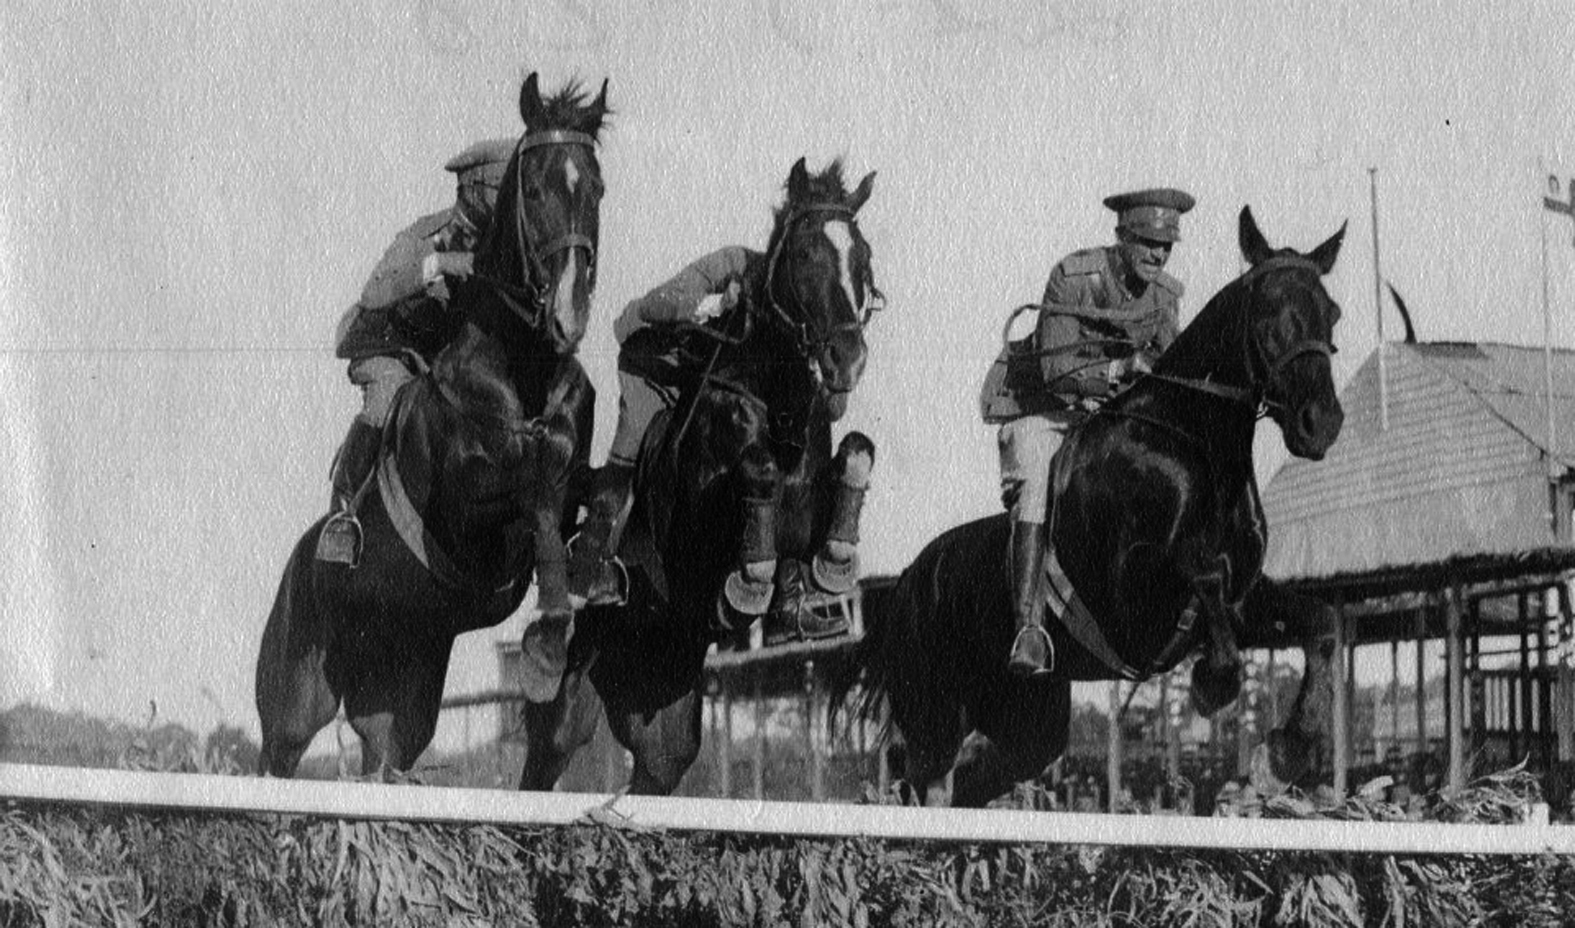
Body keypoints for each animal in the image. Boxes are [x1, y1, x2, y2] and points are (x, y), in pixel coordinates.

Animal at [255, 76, 604, 775]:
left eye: (597, 189)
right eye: (533, 189)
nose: (569, 313)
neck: (521, 369)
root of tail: (296, 564)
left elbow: (591, 489)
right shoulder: (465, 513)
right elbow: (533, 487)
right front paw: (546, 646)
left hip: (400, 691)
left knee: (386, 754)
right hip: (294, 697)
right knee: (276, 751)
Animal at [519, 157, 882, 787]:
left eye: (861, 256)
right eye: (806, 253)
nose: (847, 360)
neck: (776, 401)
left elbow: (856, 452)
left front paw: (828, 570)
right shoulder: (696, 521)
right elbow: (756, 473)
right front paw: (751, 583)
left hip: (667, 730)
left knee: (659, 766)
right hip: (567, 706)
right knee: (547, 755)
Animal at [837, 207, 1341, 803]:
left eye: (1332, 315)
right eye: (1267, 315)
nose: (1321, 424)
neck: (1193, 448)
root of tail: (908, 583)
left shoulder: (1243, 598)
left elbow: (1321, 623)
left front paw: (1284, 754)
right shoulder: (1132, 603)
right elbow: (1201, 572)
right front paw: (1213, 685)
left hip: (1030, 720)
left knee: (981, 778)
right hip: (935, 717)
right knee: (927, 779)